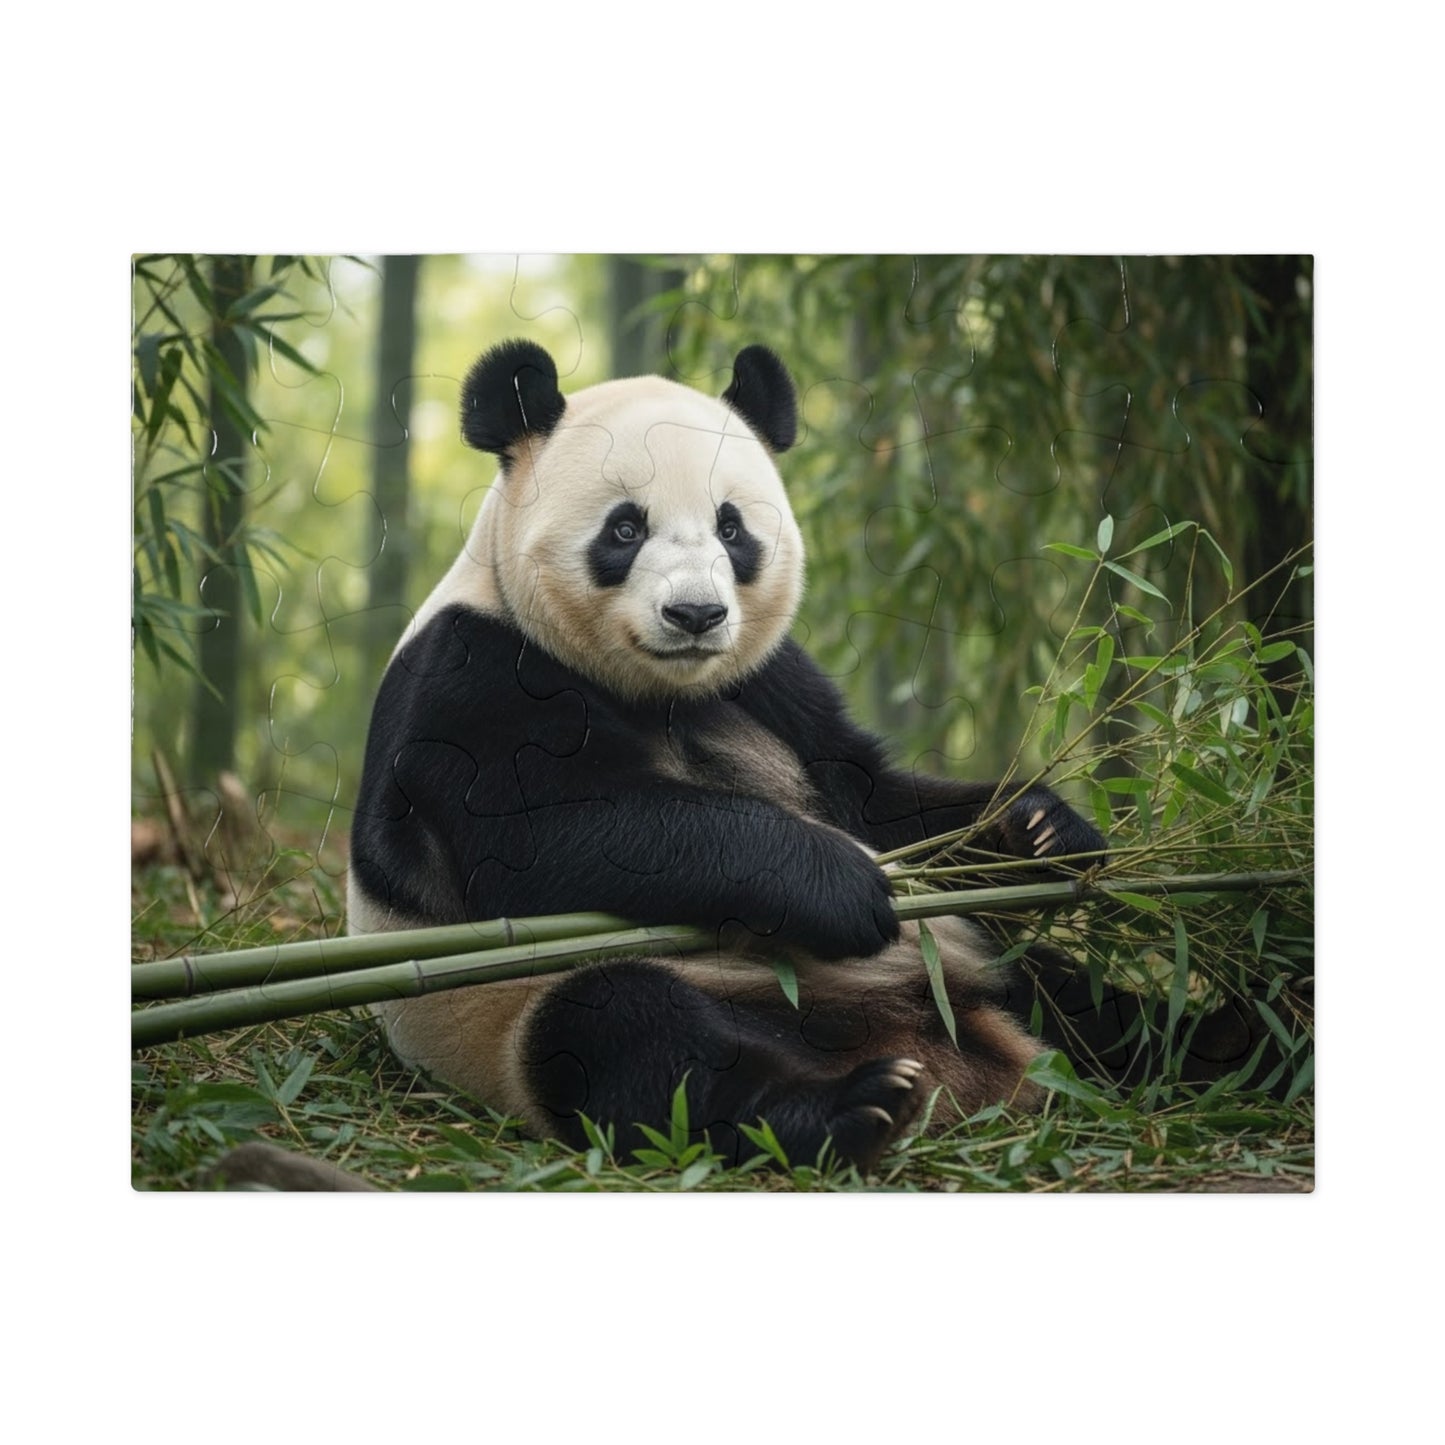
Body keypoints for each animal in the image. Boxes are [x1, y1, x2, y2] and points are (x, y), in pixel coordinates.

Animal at [347, 339, 1114, 1173]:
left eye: (731, 528)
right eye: (625, 528)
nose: (696, 614)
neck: (658, 686)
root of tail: (954, 1058)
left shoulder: (768, 680)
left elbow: (873, 797)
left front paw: (1040, 829)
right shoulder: (470, 671)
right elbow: (549, 835)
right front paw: (841, 885)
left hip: (978, 972)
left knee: (1080, 1000)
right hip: (521, 1009)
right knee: (633, 1036)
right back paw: (853, 1107)